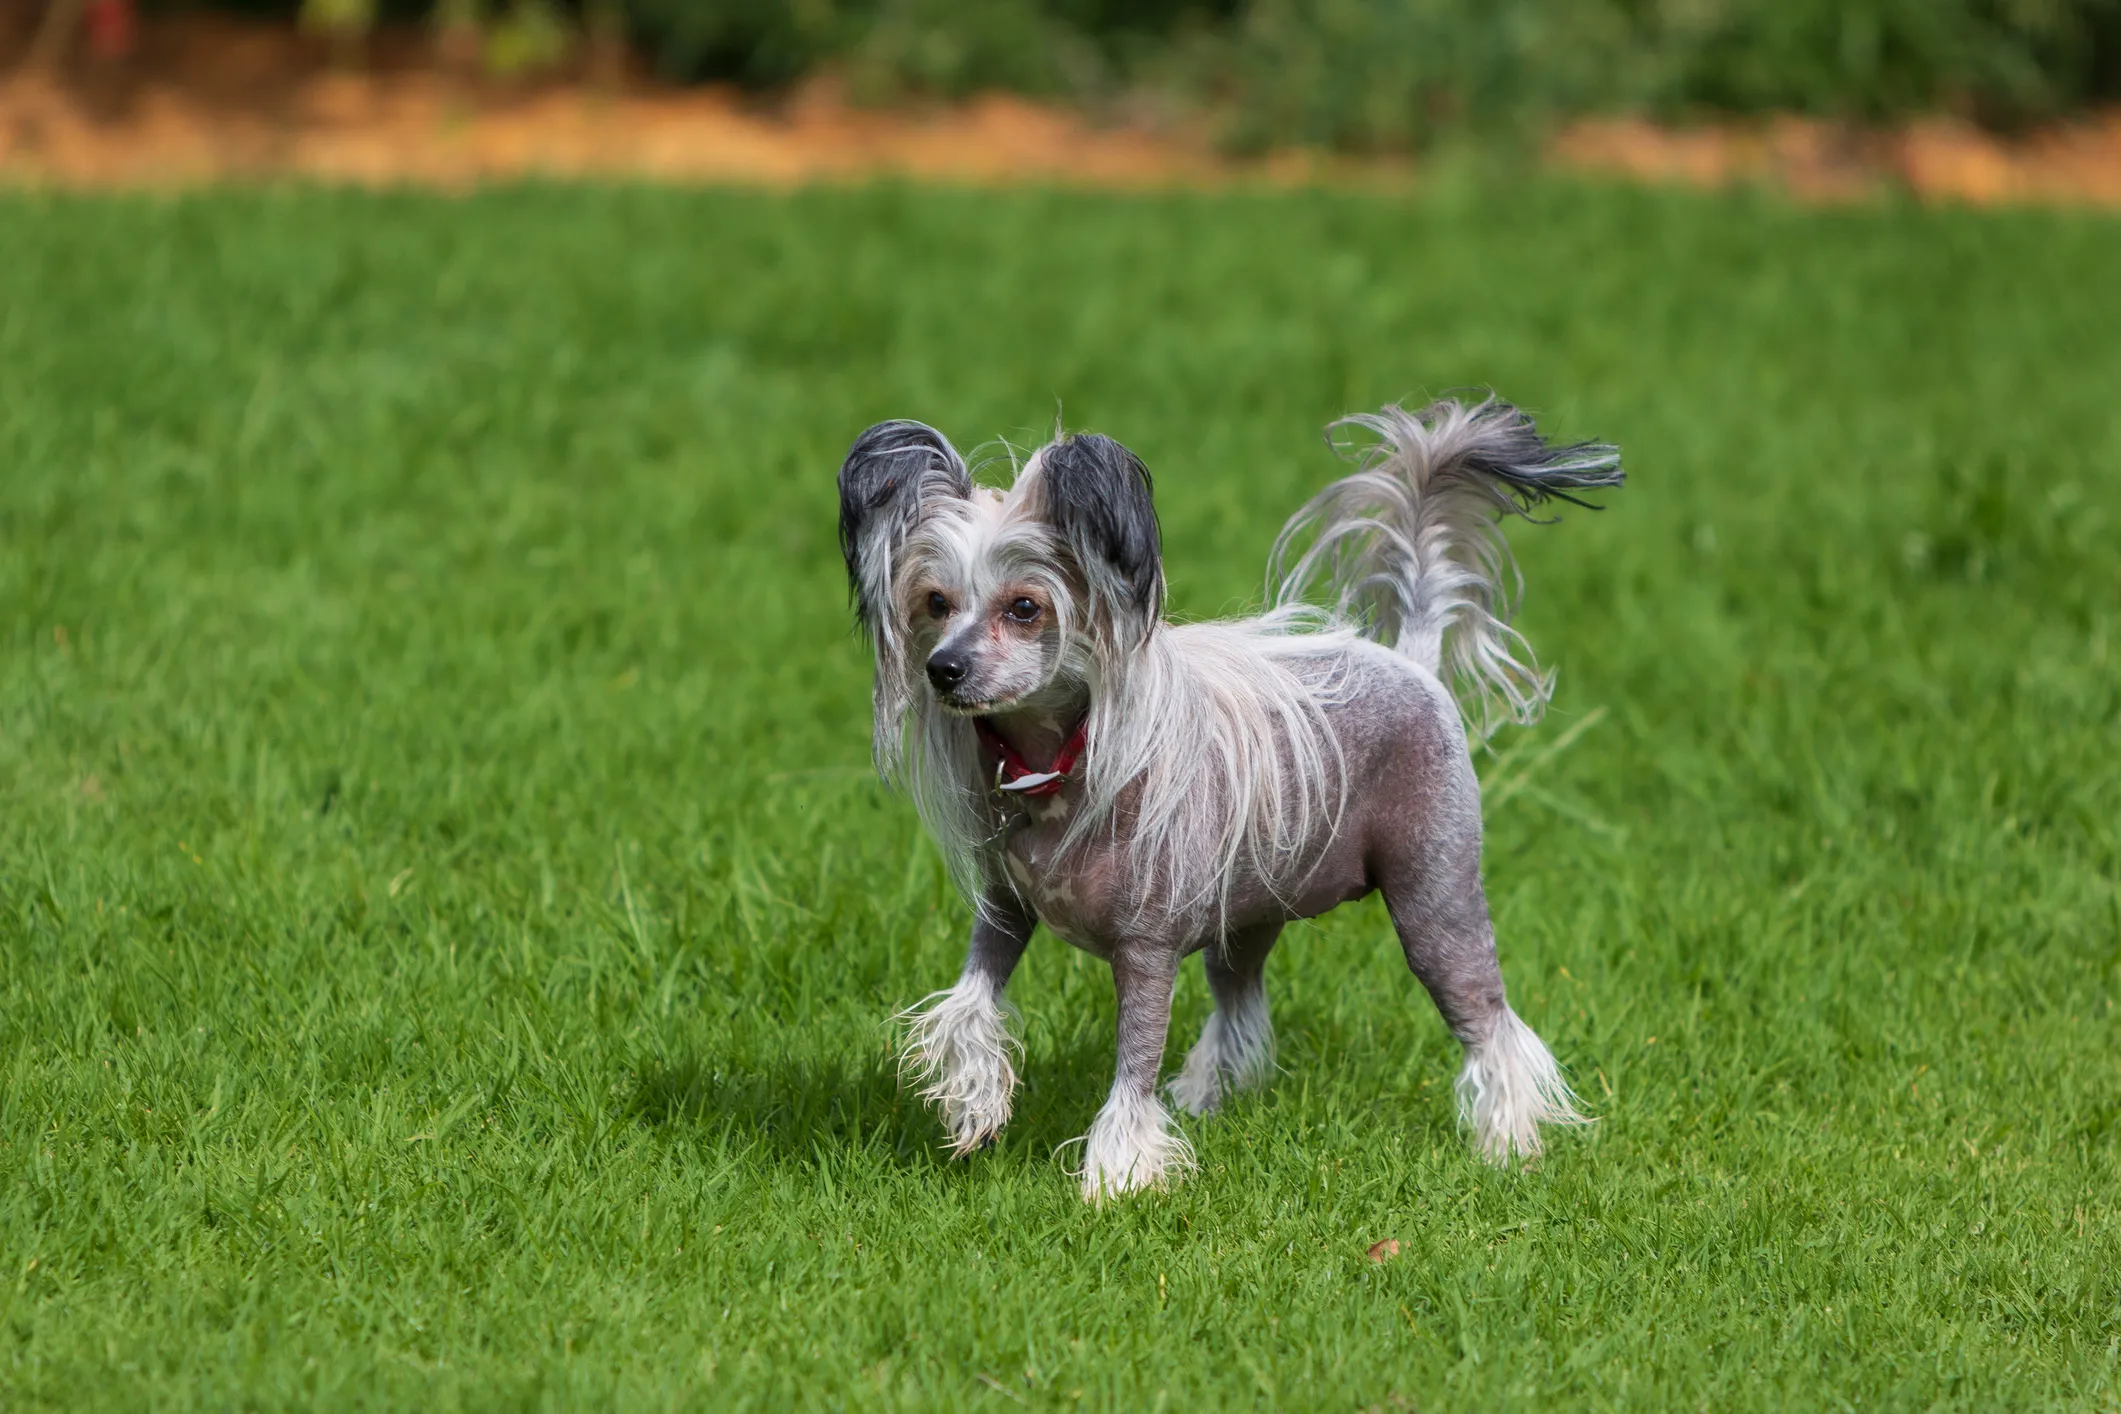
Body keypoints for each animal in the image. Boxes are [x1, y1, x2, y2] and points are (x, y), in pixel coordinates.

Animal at [831, 392, 1620, 1204]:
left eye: (1024, 608)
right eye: (935, 601)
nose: (942, 669)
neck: (1060, 769)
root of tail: (1413, 662)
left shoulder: (1144, 952)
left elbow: (1134, 1063)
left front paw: (1116, 1177)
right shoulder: (1004, 913)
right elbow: (972, 1002)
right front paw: (975, 1109)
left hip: (1435, 895)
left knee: (1485, 1018)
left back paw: (1510, 1145)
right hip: (1246, 916)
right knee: (1239, 1003)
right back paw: (1205, 1099)